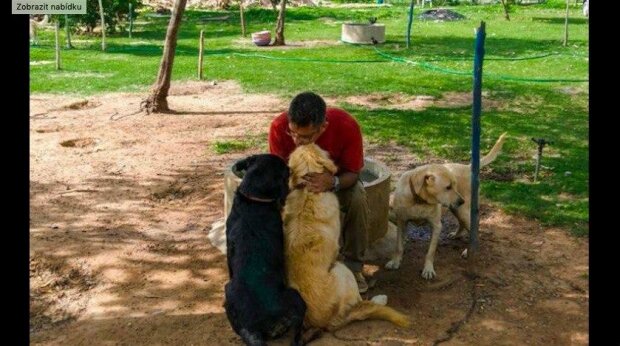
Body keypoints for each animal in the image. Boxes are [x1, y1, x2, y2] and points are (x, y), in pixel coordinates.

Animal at [282, 143, 410, 332]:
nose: (305, 142)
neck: (307, 191)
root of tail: (326, 323)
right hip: (342, 270)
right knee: (361, 305)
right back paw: (379, 299)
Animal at [388, 132, 508, 278]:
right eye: (448, 187)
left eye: (454, 185)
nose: (461, 201)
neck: (419, 200)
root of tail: (468, 167)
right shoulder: (401, 222)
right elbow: (398, 245)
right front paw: (395, 261)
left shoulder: (436, 226)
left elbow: (430, 252)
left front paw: (428, 269)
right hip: (456, 209)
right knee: (462, 223)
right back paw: (456, 235)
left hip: (463, 211)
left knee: (474, 231)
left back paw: (468, 251)